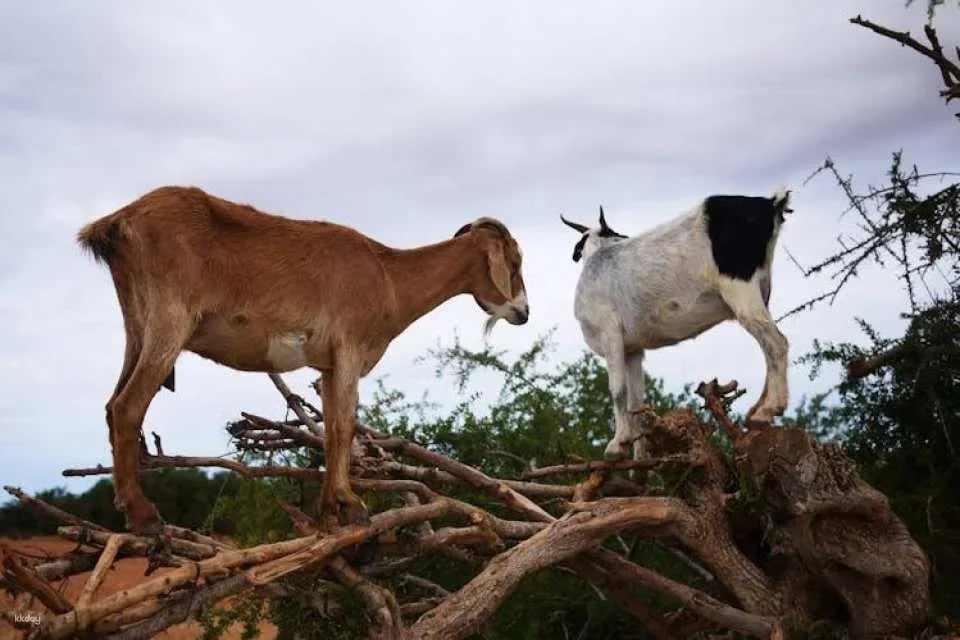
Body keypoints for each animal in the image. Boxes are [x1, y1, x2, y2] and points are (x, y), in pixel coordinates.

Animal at [78, 186, 530, 534]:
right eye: (515, 261)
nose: (523, 312)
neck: (389, 276)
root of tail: (117, 223)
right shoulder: (350, 348)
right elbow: (345, 426)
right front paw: (353, 506)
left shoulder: (328, 365)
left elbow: (329, 430)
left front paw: (330, 511)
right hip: (170, 322)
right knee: (128, 406)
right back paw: (145, 517)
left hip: (137, 326)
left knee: (112, 404)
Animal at [561, 188, 792, 460]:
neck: (599, 256)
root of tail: (770, 204)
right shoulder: (633, 350)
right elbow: (636, 402)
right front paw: (639, 461)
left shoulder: (610, 335)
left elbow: (617, 389)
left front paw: (617, 444)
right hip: (761, 293)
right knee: (767, 344)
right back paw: (758, 410)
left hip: (740, 288)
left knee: (776, 342)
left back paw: (766, 411)